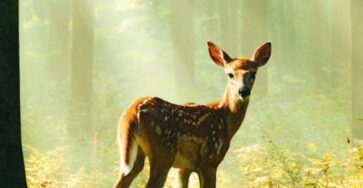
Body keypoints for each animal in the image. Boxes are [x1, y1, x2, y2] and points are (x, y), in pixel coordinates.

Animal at [115, 41, 272, 188]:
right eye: (230, 74)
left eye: (253, 73)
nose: (243, 91)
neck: (224, 117)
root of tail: (132, 110)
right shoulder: (209, 160)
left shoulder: (184, 168)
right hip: (164, 152)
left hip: (132, 153)